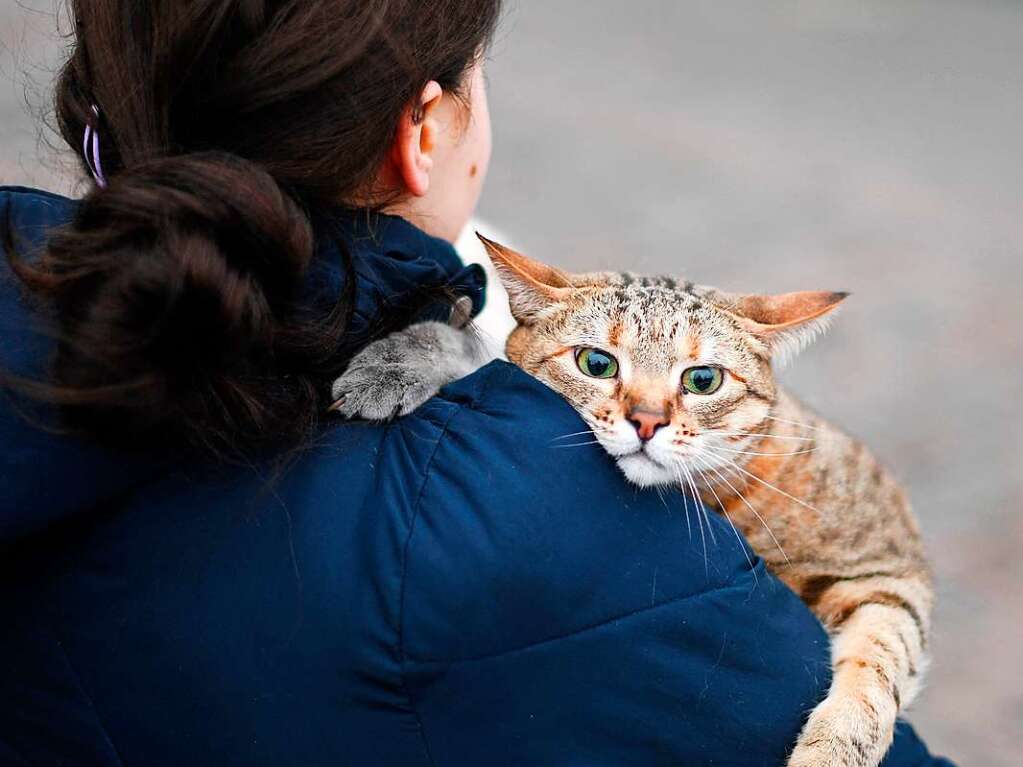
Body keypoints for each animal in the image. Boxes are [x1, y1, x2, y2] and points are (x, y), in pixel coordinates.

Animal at [329, 236, 937, 767]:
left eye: (702, 379)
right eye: (597, 364)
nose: (646, 420)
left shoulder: (889, 566)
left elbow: (881, 659)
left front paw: (835, 747)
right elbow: (474, 353)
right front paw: (395, 363)